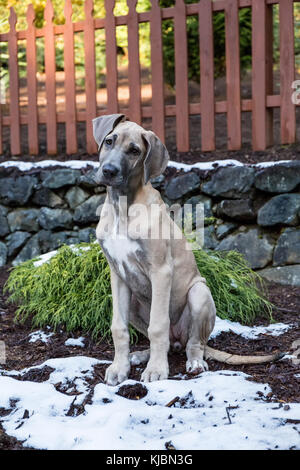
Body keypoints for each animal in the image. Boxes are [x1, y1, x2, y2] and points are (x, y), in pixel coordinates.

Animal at [93, 114, 278, 386]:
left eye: (134, 150)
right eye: (109, 141)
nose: (108, 171)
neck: (122, 206)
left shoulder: (161, 271)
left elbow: (158, 326)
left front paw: (156, 370)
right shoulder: (118, 274)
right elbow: (119, 326)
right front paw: (120, 367)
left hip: (199, 293)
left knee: (193, 343)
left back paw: (194, 362)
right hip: (136, 301)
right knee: (169, 343)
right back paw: (141, 355)